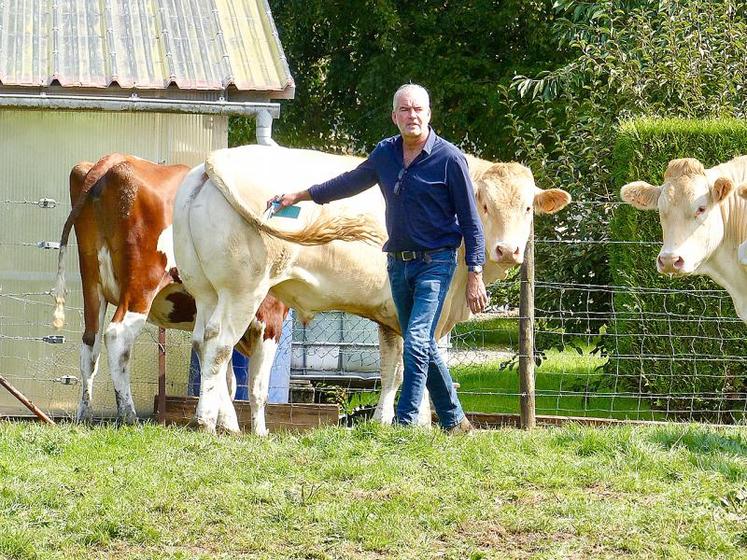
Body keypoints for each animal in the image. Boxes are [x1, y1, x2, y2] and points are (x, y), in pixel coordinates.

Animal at [52, 154, 288, 434]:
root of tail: (114, 161)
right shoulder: (270, 316)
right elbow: (256, 387)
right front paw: (258, 432)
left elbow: (223, 373)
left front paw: (226, 423)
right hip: (142, 282)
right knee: (118, 335)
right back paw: (128, 415)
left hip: (91, 282)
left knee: (90, 344)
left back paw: (84, 415)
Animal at [172, 145, 571, 433]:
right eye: (484, 205)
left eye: (527, 208)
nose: (509, 250)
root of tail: (212, 162)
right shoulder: (434, 311)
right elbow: (420, 363)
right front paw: (422, 423)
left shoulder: (391, 313)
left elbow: (393, 368)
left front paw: (385, 421)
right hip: (244, 290)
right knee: (220, 346)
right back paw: (206, 421)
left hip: (206, 291)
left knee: (203, 342)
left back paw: (227, 423)